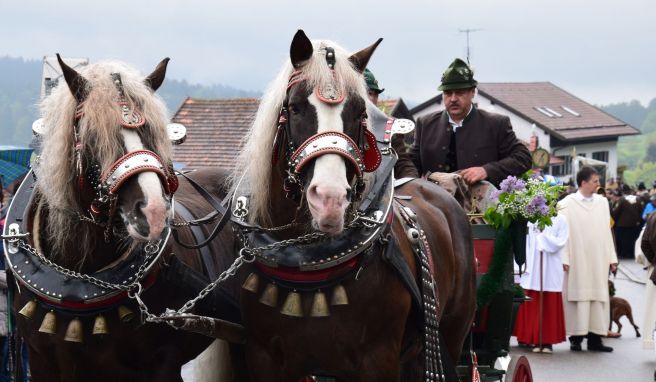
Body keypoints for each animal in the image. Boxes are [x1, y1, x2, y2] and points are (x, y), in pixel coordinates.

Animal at [2, 55, 240, 380]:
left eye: (153, 132)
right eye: (93, 135)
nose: (154, 211)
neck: (80, 275)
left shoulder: (163, 364)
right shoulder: (42, 361)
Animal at [228, 30, 474, 382]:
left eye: (360, 112)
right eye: (295, 107)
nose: (329, 199)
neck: (307, 265)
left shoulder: (378, 360)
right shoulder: (263, 358)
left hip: (451, 335)